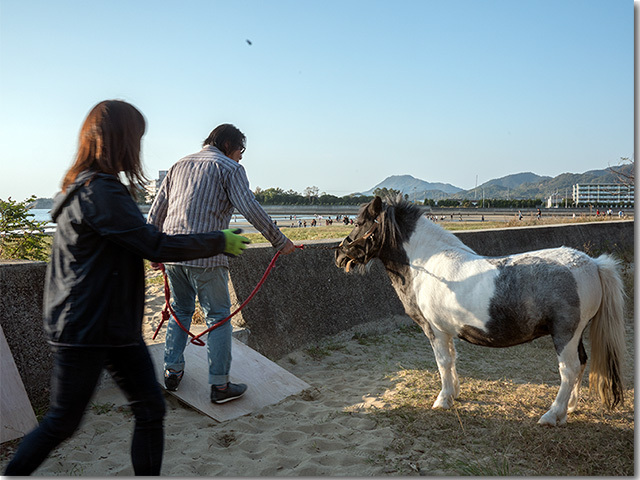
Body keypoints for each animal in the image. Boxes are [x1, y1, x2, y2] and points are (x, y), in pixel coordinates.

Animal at [336, 197, 624, 426]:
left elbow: (443, 362)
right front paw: (454, 393)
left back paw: (552, 415)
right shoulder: (447, 331)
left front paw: (443, 399)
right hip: (575, 335)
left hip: (565, 334)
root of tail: (593, 264)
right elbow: (452, 360)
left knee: (570, 369)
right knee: (582, 363)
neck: (426, 264)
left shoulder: (435, 331)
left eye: (360, 223)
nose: (339, 256)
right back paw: (569, 408)